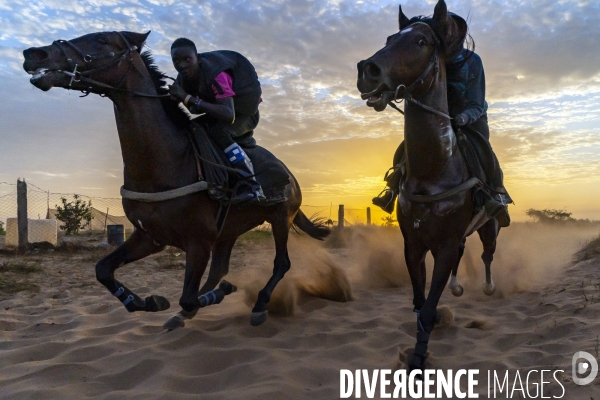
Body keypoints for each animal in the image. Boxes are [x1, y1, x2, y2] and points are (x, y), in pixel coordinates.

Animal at [23, 31, 330, 330]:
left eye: (101, 39)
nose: (33, 54)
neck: (166, 162)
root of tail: (291, 176)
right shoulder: (150, 236)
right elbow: (103, 270)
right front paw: (150, 302)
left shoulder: (198, 242)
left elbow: (188, 297)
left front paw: (221, 293)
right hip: (229, 232)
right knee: (220, 270)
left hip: (280, 217)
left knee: (281, 263)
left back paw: (259, 303)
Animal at [356, 0, 502, 368]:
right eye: (390, 38)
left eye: (421, 41)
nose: (368, 71)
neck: (434, 171)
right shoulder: (414, 246)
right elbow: (421, 305)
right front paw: (418, 350)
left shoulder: (445, 246)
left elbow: (427, 309)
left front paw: (419, 360)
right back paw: (458, 288)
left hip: (490, 226)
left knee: (488, 253)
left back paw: (488, 287)